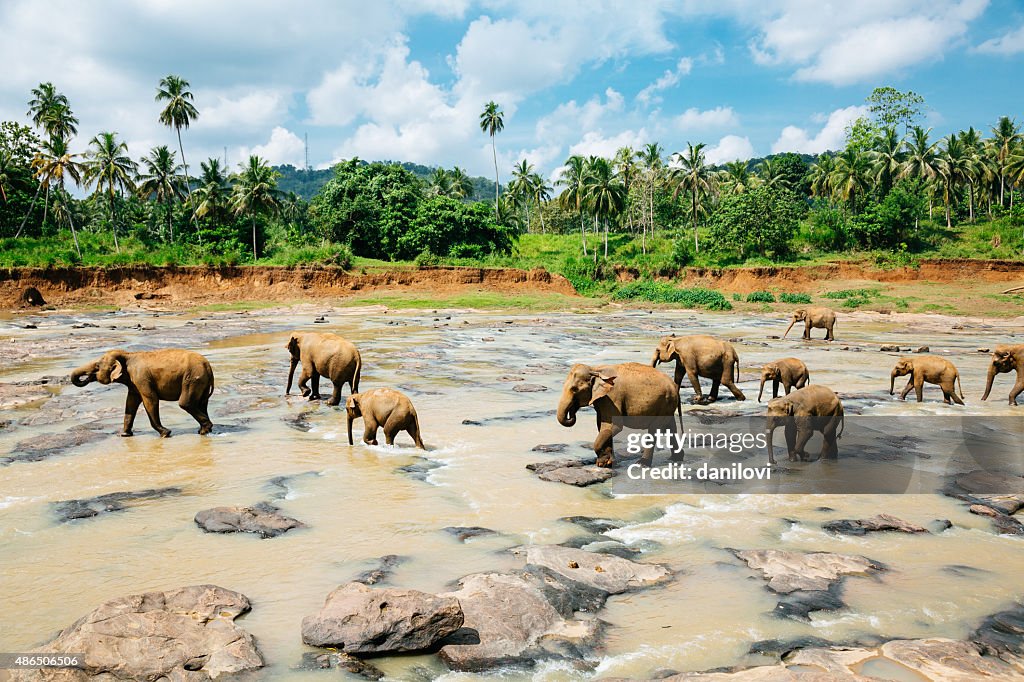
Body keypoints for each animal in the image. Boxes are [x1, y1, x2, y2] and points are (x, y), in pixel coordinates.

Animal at [69, 348, 214, 438]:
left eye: (97, 366)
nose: (86, 376)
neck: (127, 354)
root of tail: (208, 366)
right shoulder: (133, 382)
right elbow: (131, 402)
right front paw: (124, 435)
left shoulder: (141, 378)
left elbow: (150, 399)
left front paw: (165, 433)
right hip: (201, 381)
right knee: (202, 403)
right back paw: (204, 430)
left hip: (193, 378)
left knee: (185, 403)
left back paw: (204, 430)